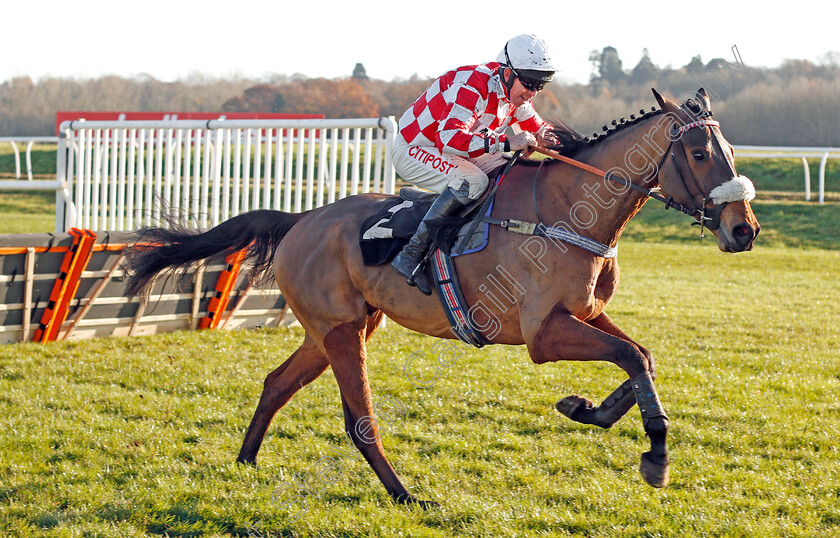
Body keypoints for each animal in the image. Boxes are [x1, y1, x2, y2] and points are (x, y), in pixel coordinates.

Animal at [124, 87, 760, 502]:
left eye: (731, 151)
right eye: (699, 154)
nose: (744, 230)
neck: (565, 210)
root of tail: (302, 217)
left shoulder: (584, 314)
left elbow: (641, 357)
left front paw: (591, 411)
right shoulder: (543, 335)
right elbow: (630, 356)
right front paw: (655, 455)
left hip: (337, 329)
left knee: (276, 383)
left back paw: (246, 461)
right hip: (340, 332)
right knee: (359, 420)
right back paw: (404, 495)